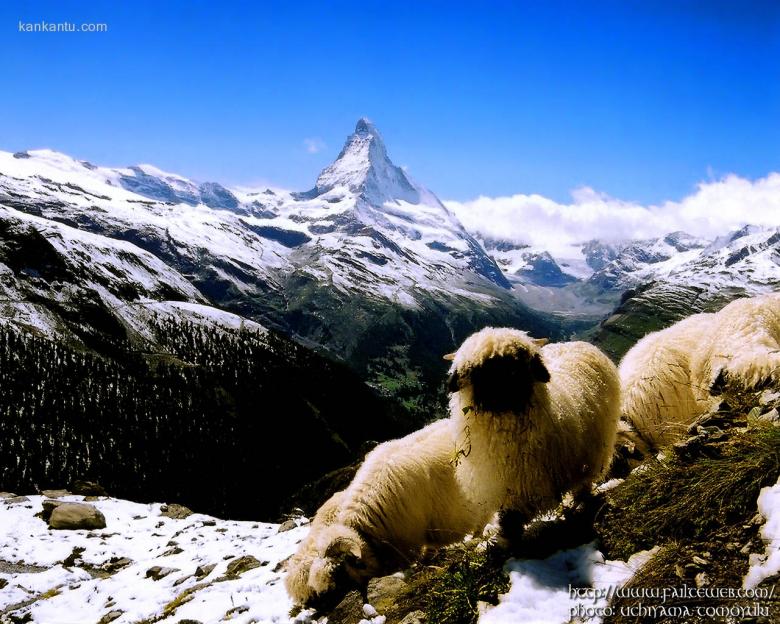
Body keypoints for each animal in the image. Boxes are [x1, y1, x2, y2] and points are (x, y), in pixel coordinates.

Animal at [444, 326, 620, 536]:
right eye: (482, 371)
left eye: (520, 364)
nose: (510, 386)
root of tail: (577, 344)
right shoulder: (503, 486)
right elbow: (508, 518)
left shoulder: (524, 485)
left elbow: (513, 519)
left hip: (595, 451)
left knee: (585, 481)